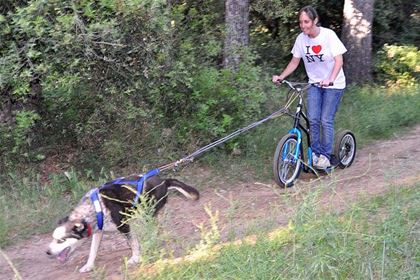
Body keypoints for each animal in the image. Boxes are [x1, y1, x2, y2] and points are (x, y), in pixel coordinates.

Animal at [46, 174, 200, 272]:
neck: (94, 208)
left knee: (153, 229)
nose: (47, 252)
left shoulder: (124, 226)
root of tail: (163, 180)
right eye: (53, 238)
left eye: (61, 240)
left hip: (147, 214)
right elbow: (92, 252)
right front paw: (89, 266)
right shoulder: (98, 232)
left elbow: (133, 244)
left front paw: (135, 258)